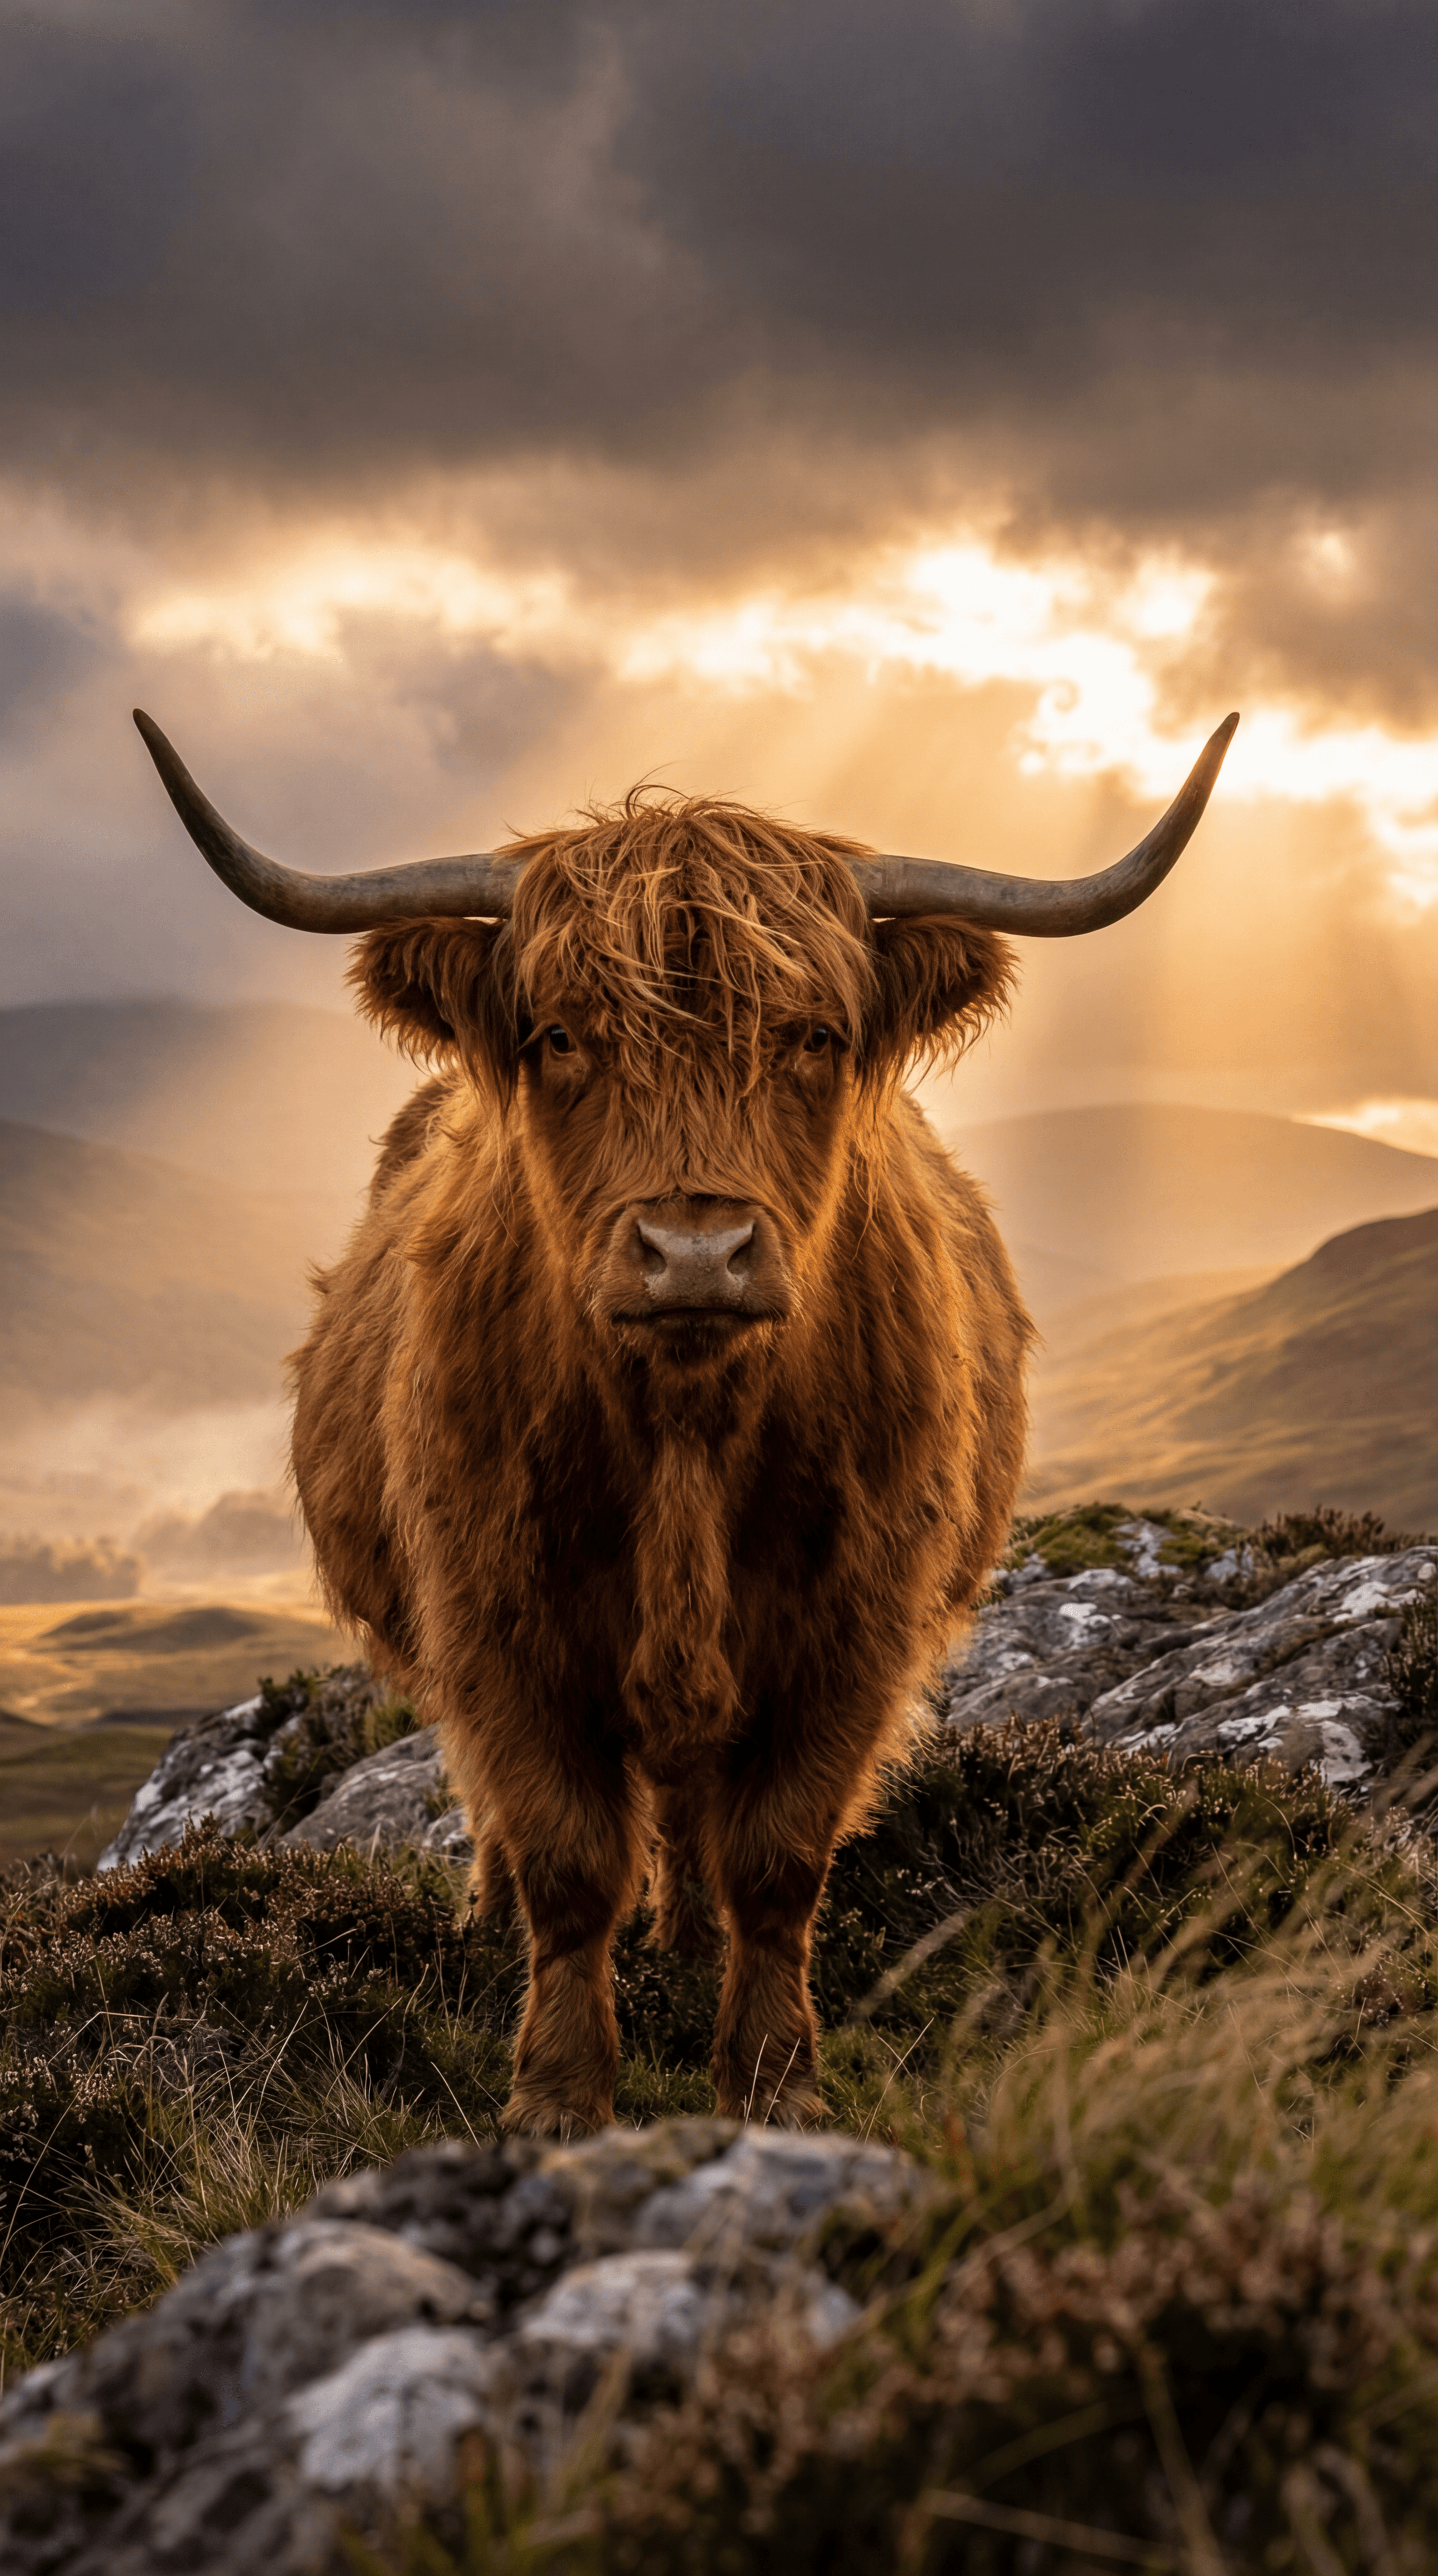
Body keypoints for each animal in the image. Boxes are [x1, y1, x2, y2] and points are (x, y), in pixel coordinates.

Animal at [134, 706, 1237, 2136]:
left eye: (813, 1035)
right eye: (560, 1036)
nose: (695, 1252)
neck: (686, 1432)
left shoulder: (852, 1632)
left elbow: (778, 1859)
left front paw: (773, 2084)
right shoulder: (500, 1620)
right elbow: (566, 1861)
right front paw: (556, 2097)